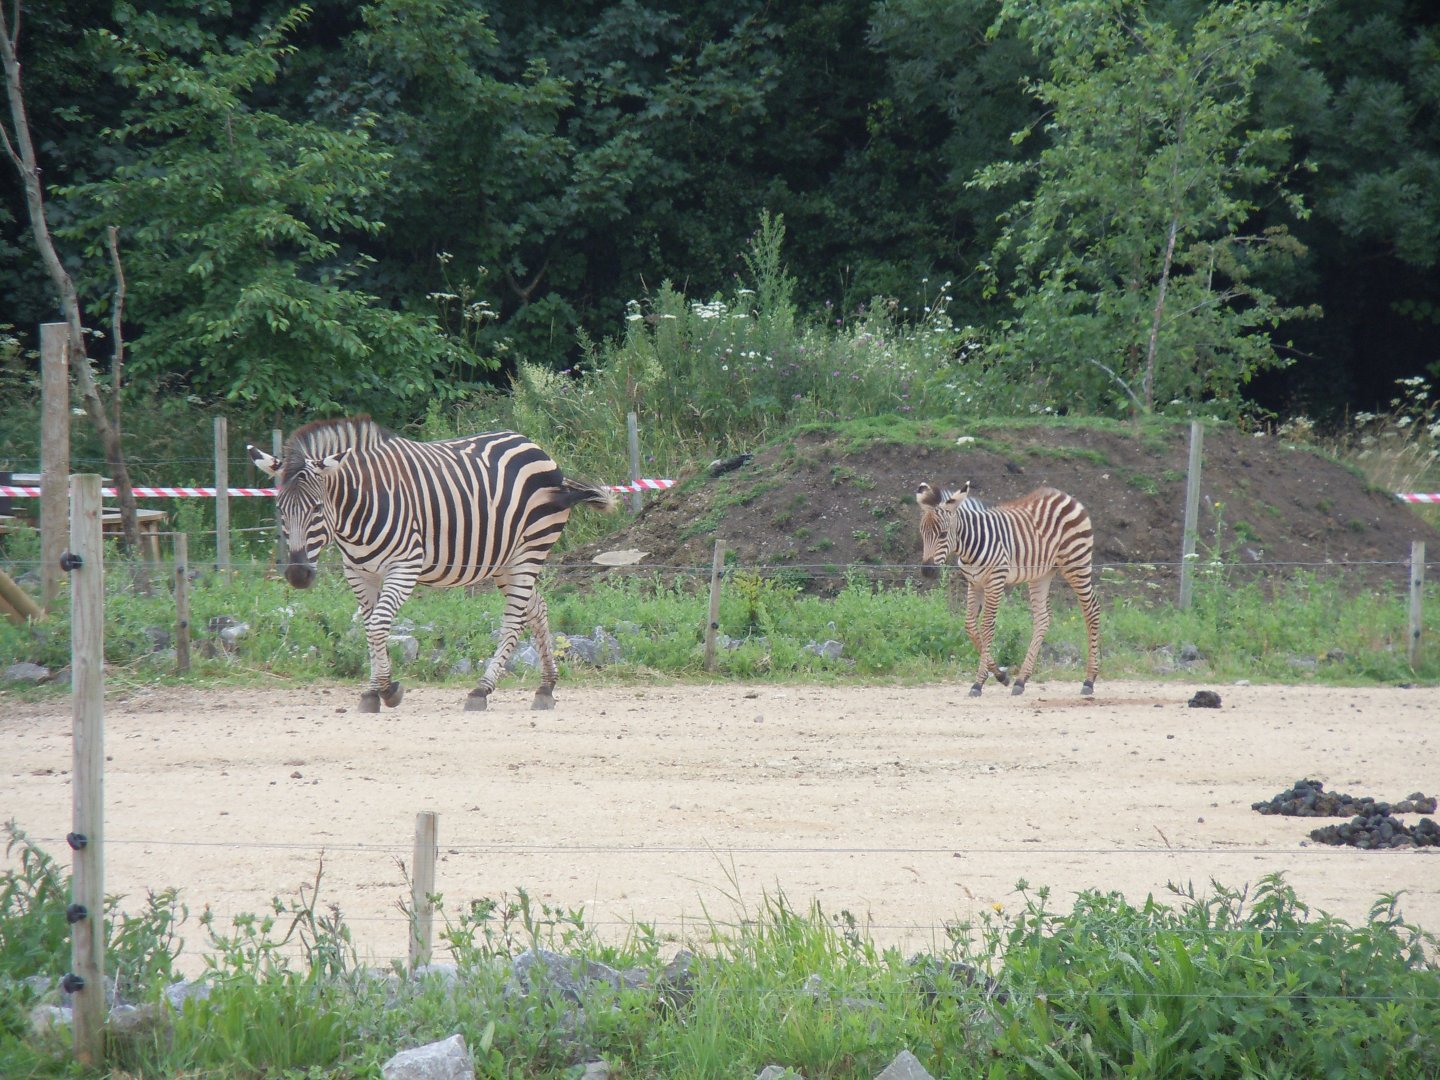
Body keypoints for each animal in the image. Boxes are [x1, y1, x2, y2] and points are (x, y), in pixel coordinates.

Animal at [248, 417, 617, 713]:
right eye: (280, 509)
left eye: (316, 508)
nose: (297, 575)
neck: (356, 509)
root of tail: (534, 446)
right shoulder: (359, 573)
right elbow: (369, 627)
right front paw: (373, 691)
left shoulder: (404, 565)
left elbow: (378, 625)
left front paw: (387, 691)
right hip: (505, 561)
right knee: (536, 608)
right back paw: (545, 688)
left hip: (530, 549)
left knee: (514, 619)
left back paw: (481, 690)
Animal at [915, 481, 1099, 697]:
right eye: (922, 533)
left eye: (943, 534)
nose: (927, 571)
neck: (971, 545)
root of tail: (1066, 496)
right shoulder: (974, 583)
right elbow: (970, 626)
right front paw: (1001, 676)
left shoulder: (995, 581)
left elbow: (987, 626)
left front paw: (978, 683)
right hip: (1041, 574)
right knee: (1042, 618)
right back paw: (1021, 680)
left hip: (1076, 563)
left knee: (1092, 609)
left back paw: (1089, 680)